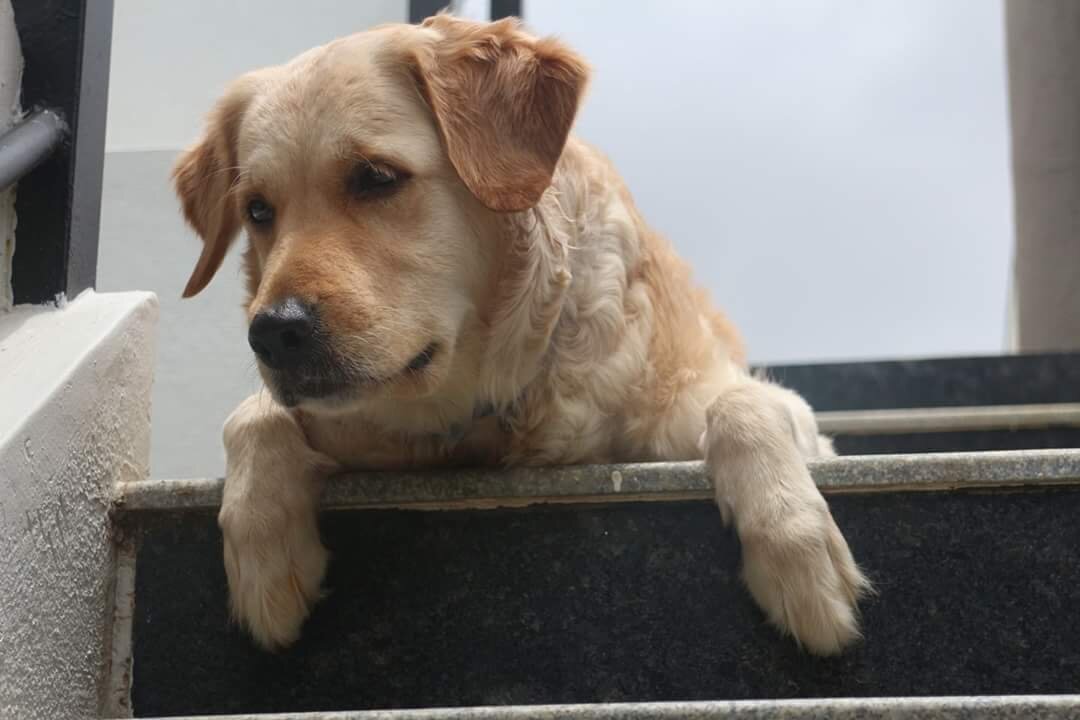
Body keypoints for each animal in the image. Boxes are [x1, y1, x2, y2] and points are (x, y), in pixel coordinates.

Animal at [174, 14, 868, 656]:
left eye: (375, 177)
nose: (274, 334)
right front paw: (264, 556)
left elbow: (742, 405)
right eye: (258, 211)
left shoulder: (773, 417)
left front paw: (798, 551)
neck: (484, 413)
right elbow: (252, 416)